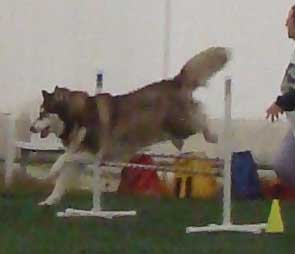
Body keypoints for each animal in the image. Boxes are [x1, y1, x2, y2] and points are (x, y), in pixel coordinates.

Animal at [31, 46, 231, 205]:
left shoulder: (95, 152)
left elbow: (65, 157)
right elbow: (62, 179)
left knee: (201, 116)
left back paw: (213, 135)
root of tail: (174, 81)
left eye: (43, 114)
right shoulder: (81, 158)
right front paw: (49, 201)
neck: (77, 117)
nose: (31, 128)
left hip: (182, 123)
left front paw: (53, 168)